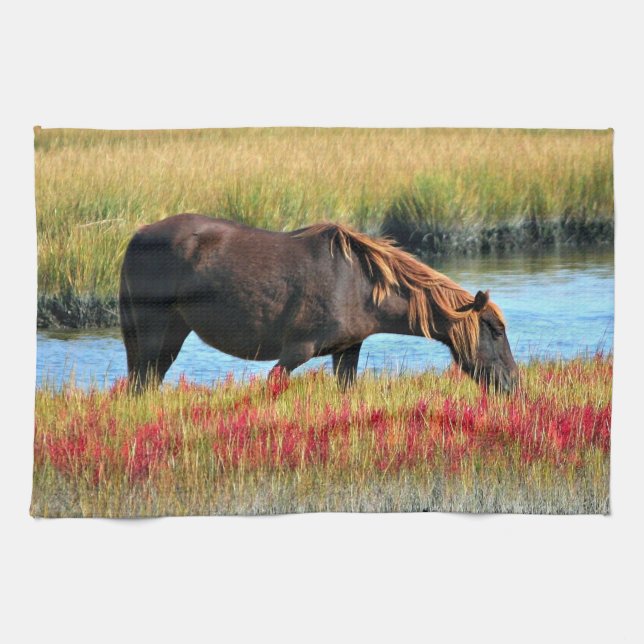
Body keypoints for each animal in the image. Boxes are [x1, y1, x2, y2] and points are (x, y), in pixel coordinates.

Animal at [119, 214, 518, 392]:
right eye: (495, 331)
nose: (514, 383)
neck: (361, 282)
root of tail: (138, 235)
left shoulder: (346, 351)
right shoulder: (296, 351)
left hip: (172, 334)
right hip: (153, 332)